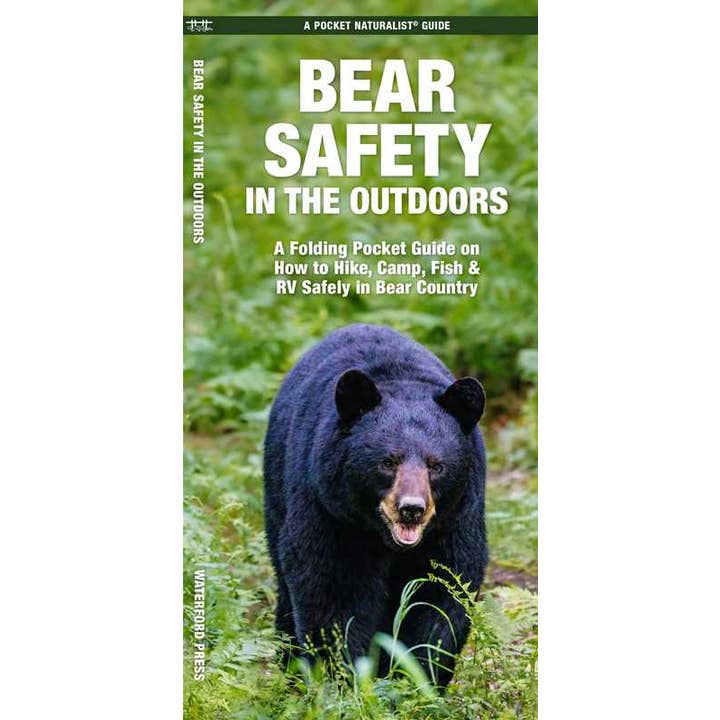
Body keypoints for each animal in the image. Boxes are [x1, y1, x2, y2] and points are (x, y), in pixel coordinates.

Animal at [263, 323, 488, 687]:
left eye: (436, 465)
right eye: (388, 462)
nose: (411, 508)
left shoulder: (455, 520)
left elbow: (441, 594)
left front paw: (415, 682)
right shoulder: (331, 511)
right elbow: (333, 591)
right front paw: (344, 681)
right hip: (277, 489)